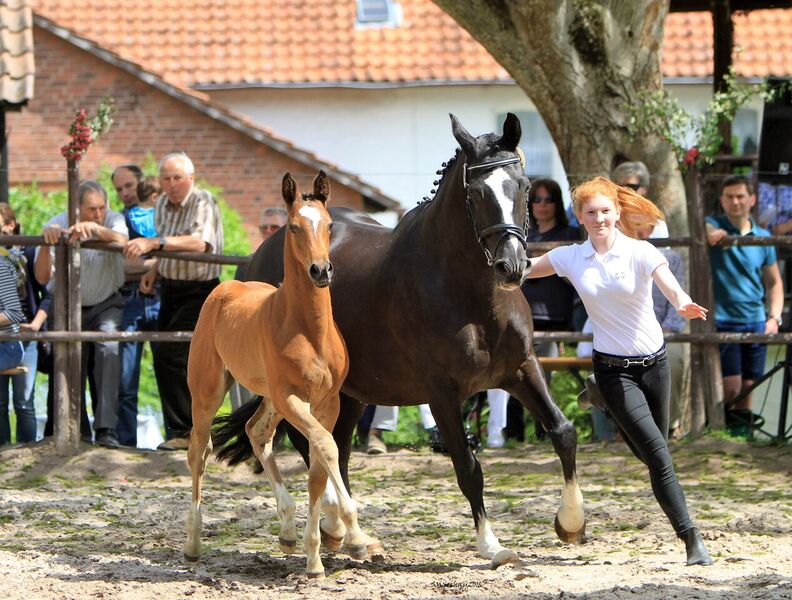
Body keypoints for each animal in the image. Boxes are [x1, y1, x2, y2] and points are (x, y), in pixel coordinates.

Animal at [184, 172, 366, 576]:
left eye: (329, 225)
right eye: (294, 226)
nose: (321, 271)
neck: (309, 330)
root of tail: (227, 286)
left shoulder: (327, 401)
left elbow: (318, 466)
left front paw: (316, 555)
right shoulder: (291, 397)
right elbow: (326, 448)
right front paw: (355, 537)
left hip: (268, 396)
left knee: (256, 432)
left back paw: (287, 531)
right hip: (208, 391)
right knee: (199, 451)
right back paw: (192, 542)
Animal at [213, 113, 584, 568]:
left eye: (524, 186)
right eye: (477, 192)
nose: (511, 266)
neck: (470, 294)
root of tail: (258, 256)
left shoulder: (521, 368)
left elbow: (563, 431)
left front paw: (571, 522)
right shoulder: (441, 392)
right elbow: (468, 467)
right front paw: (491, 545)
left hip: (350, 392)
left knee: (336, 447)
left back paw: (343, 532)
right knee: (310, 443)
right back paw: (338, 527)